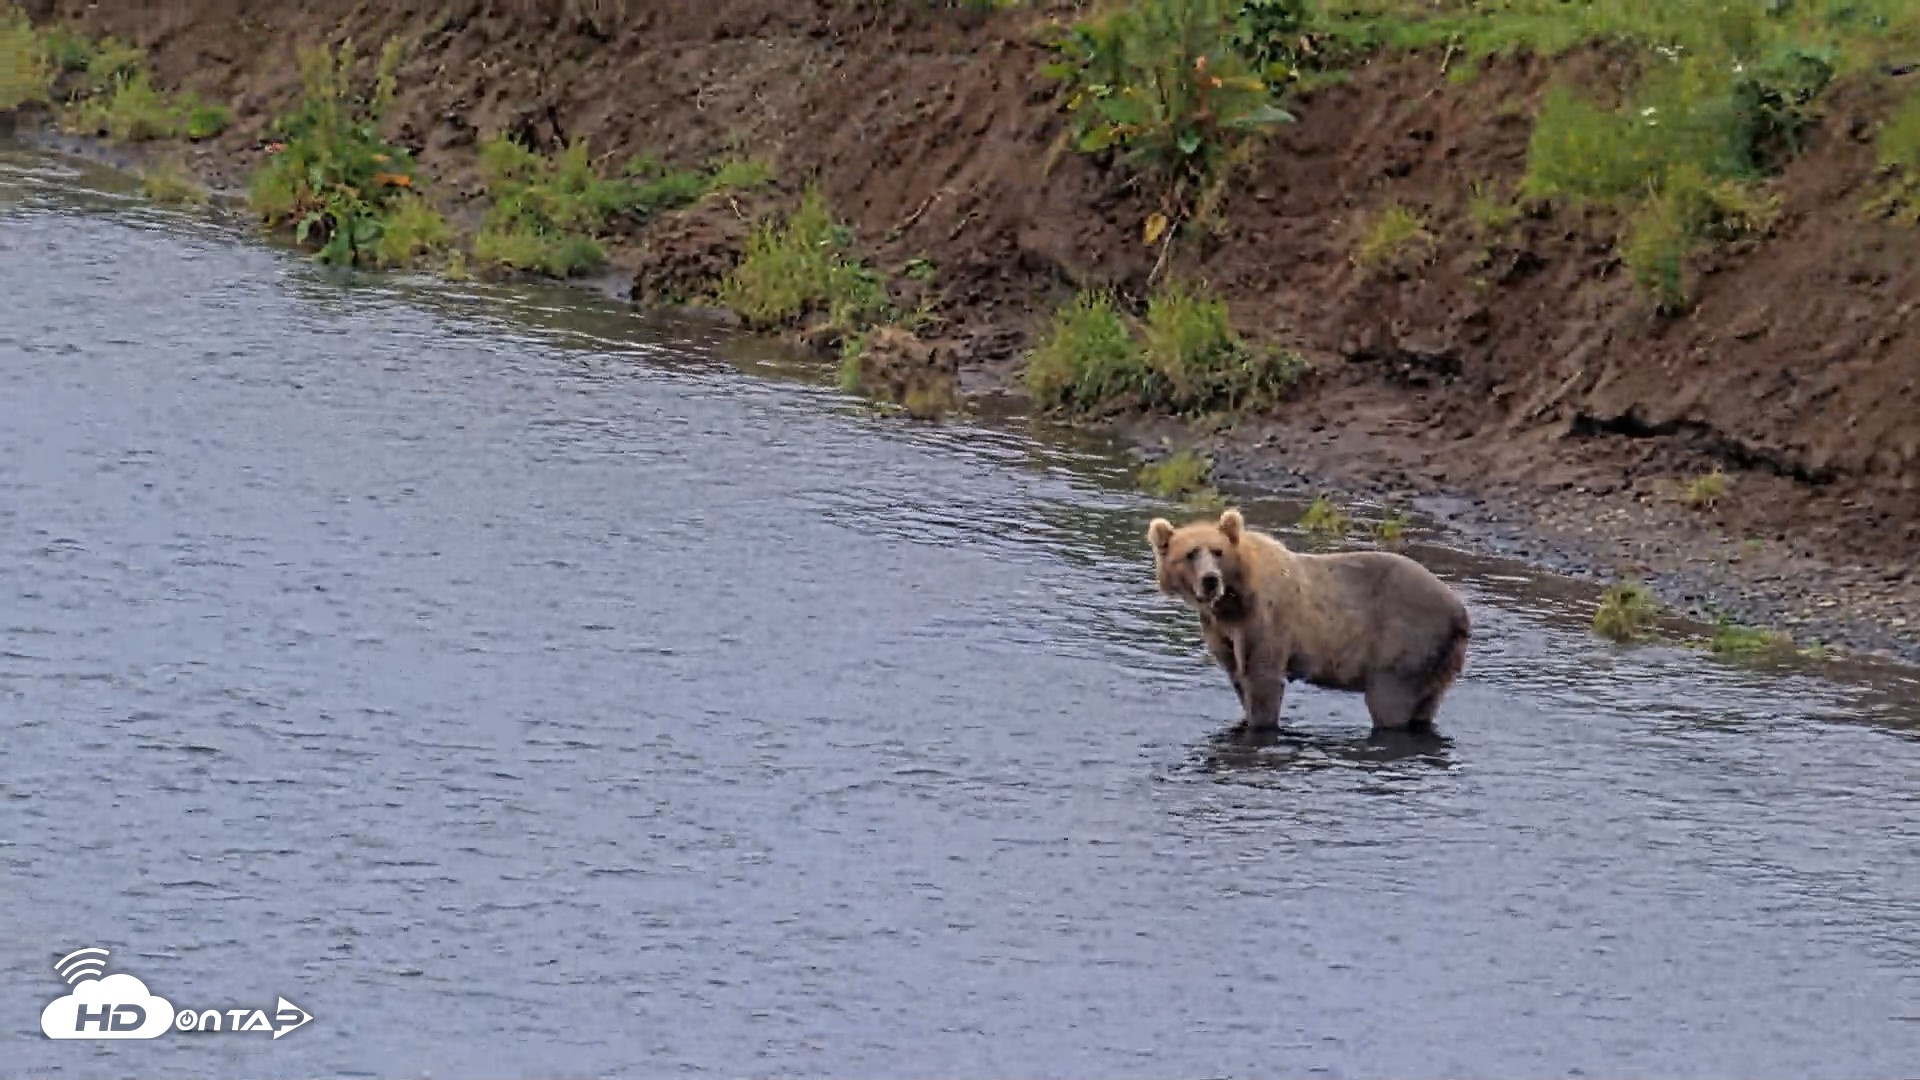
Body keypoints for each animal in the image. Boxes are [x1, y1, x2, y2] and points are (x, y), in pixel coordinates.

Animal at [1147, 507, 1471, 732]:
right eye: (1190, 554)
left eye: (1217, 551)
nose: (1210, 580)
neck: (1234, 599)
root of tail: (1460, 611)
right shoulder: (1222, 629)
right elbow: (1238, 675)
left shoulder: (1267, 620)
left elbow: (1263, 679)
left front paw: (1261, 725)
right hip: (1438, 660)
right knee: (1426, 703)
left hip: (1405, 639)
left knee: (1389, 701)